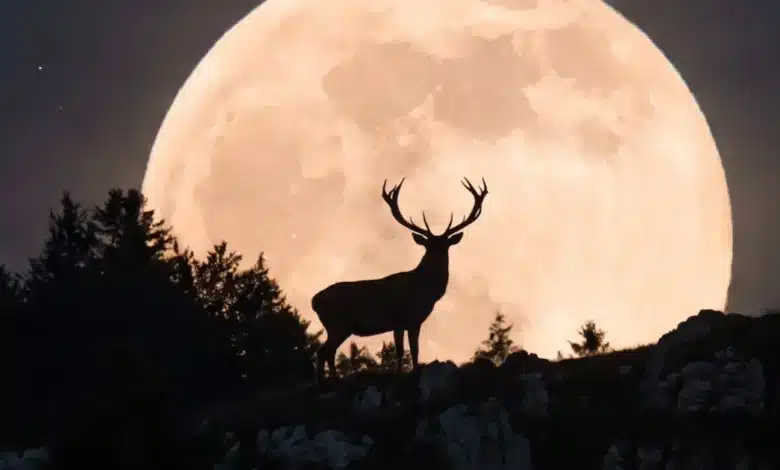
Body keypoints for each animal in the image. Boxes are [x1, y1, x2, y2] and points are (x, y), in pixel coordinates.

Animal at [311, 177, 488, 384]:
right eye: (429, 246)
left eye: (445, 246)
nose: (438, 257)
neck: (423, 292)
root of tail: (314, 301)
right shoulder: (399, 319)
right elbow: (400, 351)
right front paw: (400, 373)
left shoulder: (415, 321)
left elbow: (415, 350)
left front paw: (414, 370)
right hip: (338, 324)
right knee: (323, 352)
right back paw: (324, 381)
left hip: (338, 327)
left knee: (327, 352)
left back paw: (331, 379)